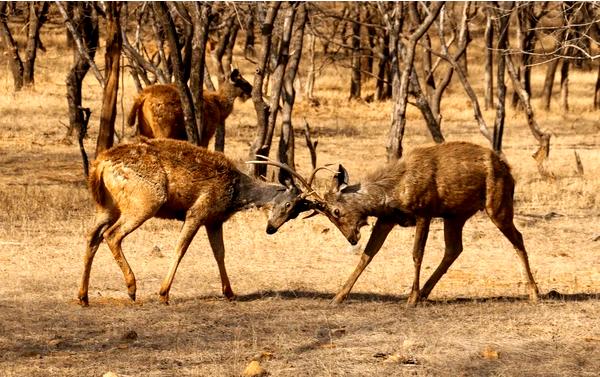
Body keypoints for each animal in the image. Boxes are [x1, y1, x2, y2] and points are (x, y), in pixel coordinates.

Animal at [78, 138, 304, 306]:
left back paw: (83, 296)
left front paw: (230, 292)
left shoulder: (214, 220)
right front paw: (163, 293)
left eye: (296, 212)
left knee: (92, 237)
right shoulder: (197, 212)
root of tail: (100, 165)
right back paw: (131, 288)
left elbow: (220, 253)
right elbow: (181, 248)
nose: (271, 228)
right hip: (146, 203)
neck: (236, 192)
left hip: (107, 207)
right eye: (288, 204)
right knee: (111, 235)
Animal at [262, 142, 540, 306]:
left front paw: (410, 297)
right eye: (330, 215)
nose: (351, 237)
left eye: (337, 211)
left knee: (518, 238)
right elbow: (367, 255)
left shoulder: (424, 212)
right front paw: (338, 296)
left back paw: (534, 293)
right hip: (455, 215)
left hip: (497, 204)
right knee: (454, 249)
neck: (392, 193)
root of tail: (507, 169)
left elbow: (417, 254)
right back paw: (427, 292)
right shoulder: (387, 219)